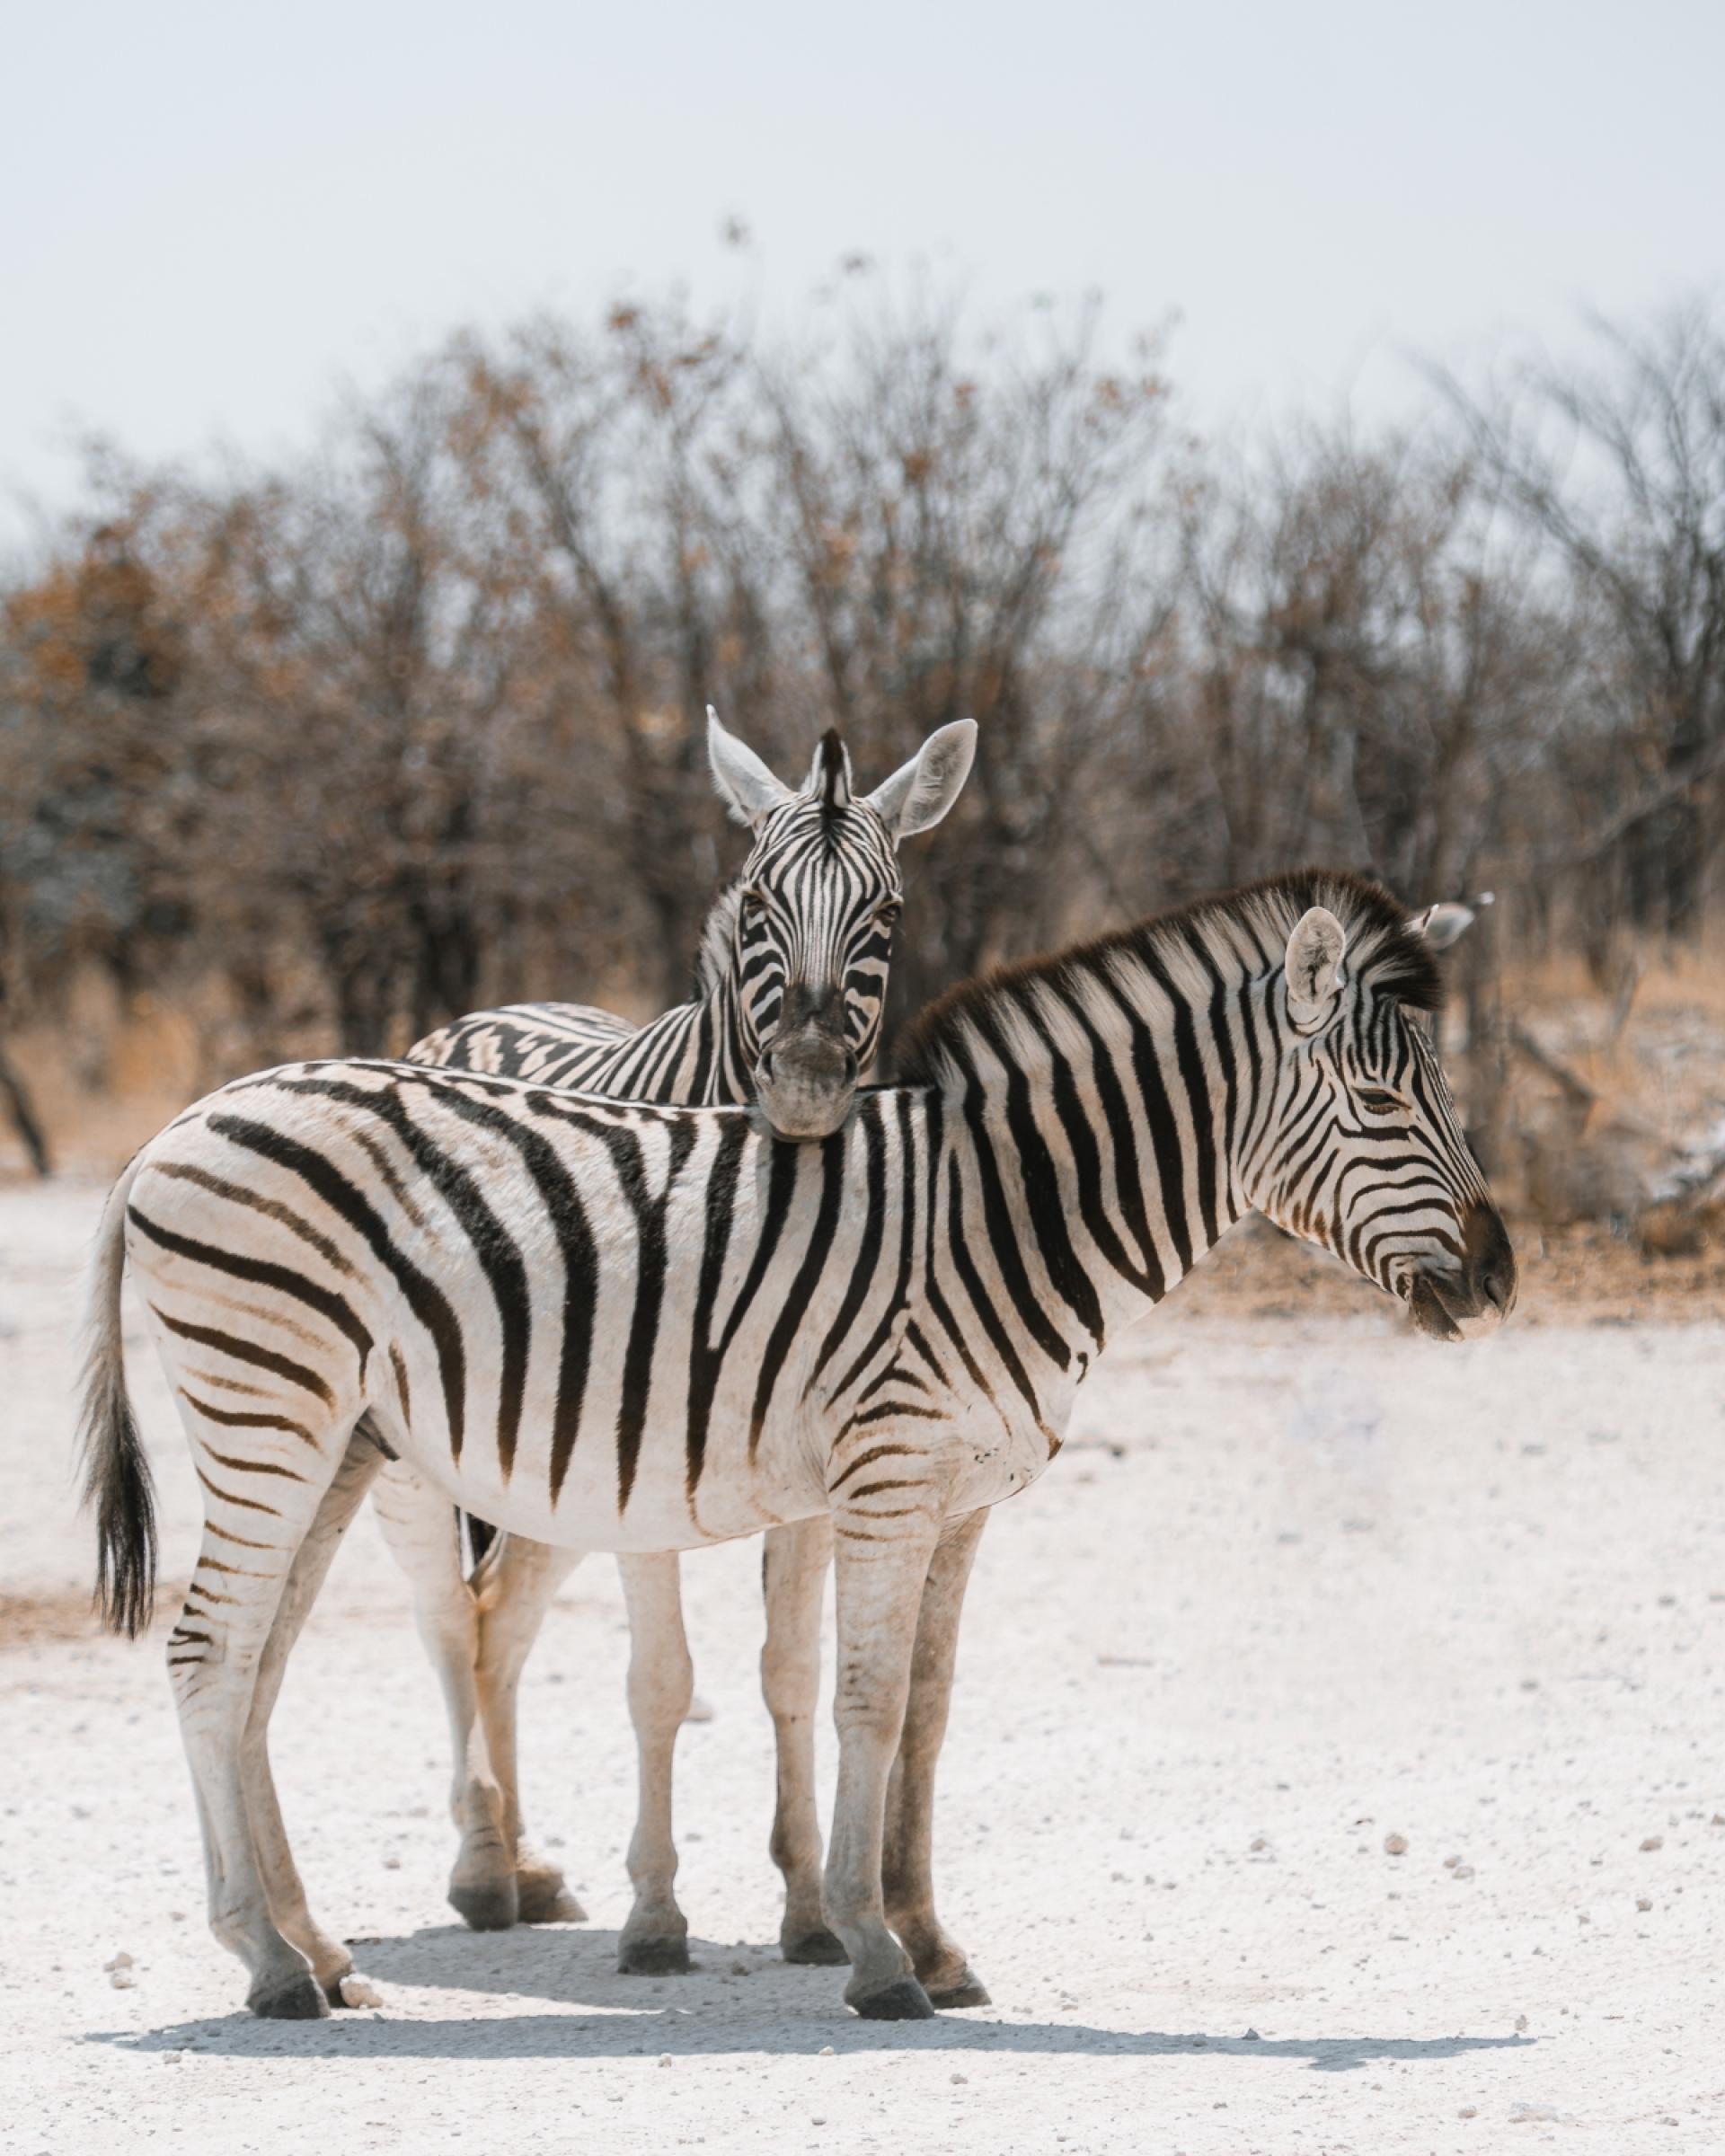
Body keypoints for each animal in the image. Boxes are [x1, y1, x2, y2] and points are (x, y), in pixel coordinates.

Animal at [81, 858, 1509, 2018]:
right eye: (1382, 1100)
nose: (1500, 1277)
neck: (1002, 1217)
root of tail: (169, 1131)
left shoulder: (962, 1496)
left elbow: (928, 1709)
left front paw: (932, 1942)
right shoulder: (889, 1474)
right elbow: (864, 1700)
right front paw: (876, 1957)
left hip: (336, 1439)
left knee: (257, 1667)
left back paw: (317, 1951)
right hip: (271, 1410)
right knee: (211, 1654)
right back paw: (269, 1965)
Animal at [359, 711, 970, 1975]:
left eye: (887, 912)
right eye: (759, 905)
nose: (806, 1088)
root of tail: (476, 1016)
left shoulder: (818, 1467)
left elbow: (789, 1670)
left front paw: (807, 1909)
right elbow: (661, 1680)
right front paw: (658, 1920)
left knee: (501, 1623)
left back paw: (525, 1863)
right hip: (437, 1450)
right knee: (447, 1616)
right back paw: (483, 1869)